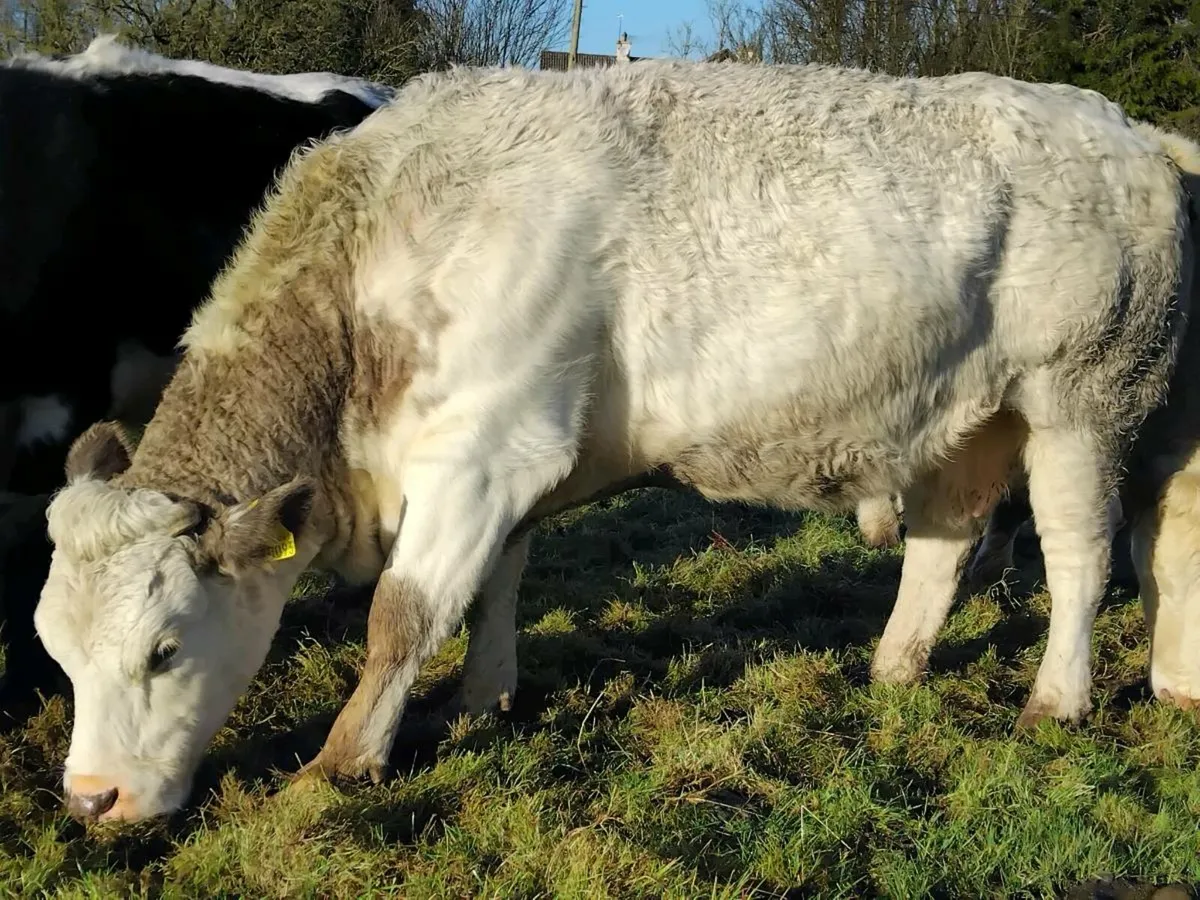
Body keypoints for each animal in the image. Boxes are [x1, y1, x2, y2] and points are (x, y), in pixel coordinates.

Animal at [31, 59, 1199, 823]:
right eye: (54, 650)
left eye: (162, 649)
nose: (90, 799)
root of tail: (1139, 137)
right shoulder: (501, 461)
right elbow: (493, 588)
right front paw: (482, 701)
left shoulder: (482, 451)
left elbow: (402, 618)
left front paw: (344, 759)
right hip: (968, 416)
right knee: (965, 543)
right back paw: (901, 670)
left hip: (1085, 400)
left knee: (1086, 555)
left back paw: (1057, 699)